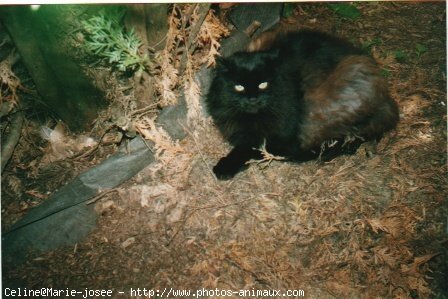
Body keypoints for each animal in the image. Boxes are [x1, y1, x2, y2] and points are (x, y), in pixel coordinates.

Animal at [206, 30, 400, 180]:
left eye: (263, 84)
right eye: (239, 86)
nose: (252, 99)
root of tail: (386, 99)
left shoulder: (281, 138)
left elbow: (246, 150)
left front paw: (224, 167)